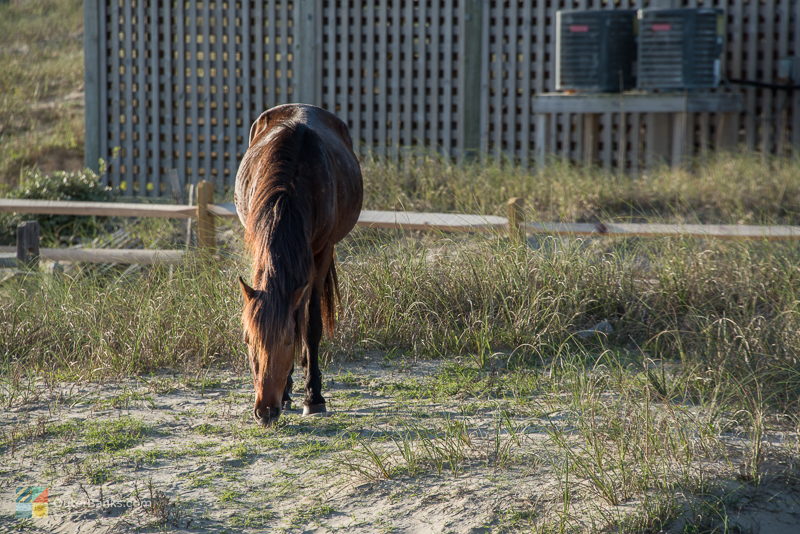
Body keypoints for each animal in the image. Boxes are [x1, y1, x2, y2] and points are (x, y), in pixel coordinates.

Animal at [234, 104, 362, 428]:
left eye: (287, 341)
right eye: (248, 341)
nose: (265, 411)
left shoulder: (321, 251)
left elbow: (311, 325)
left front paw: (314, 397)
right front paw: (289, 391)